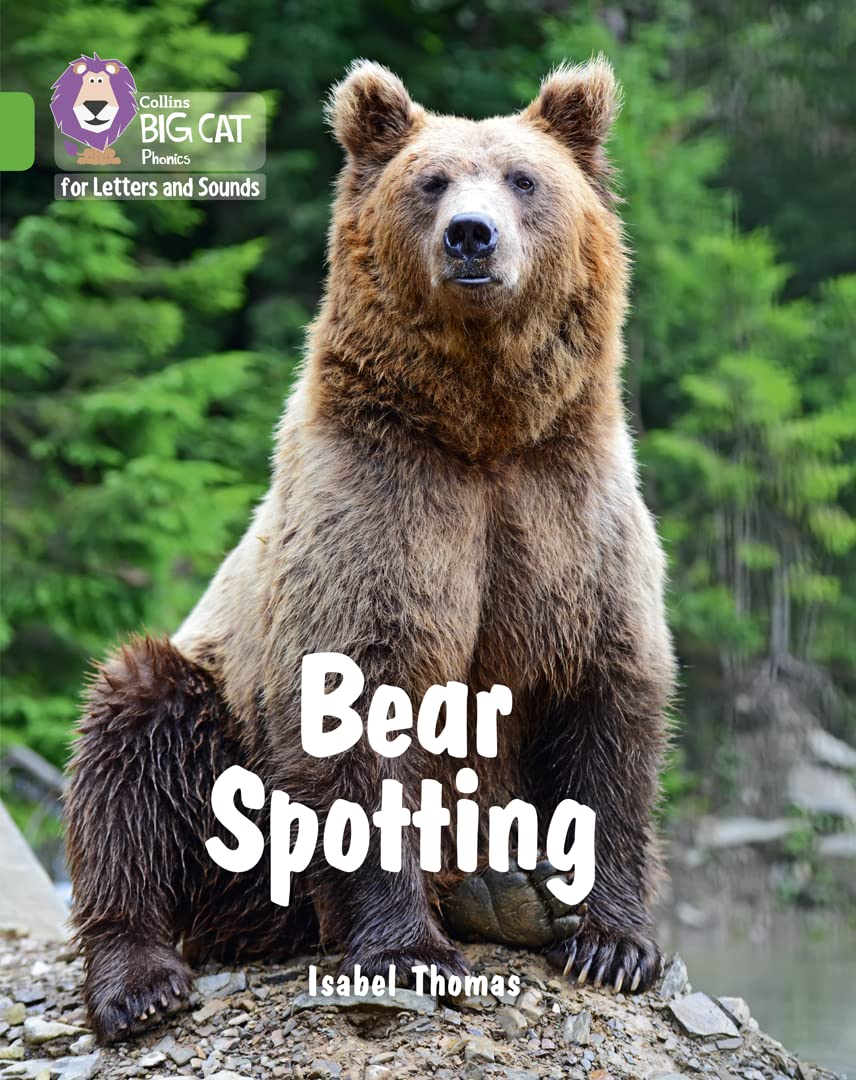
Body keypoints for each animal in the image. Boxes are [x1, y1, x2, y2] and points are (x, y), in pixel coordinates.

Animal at [64, 58, 676, 1043]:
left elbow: (608, 706)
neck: (481, 430)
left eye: (523, 178)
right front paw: (409, 952)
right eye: (431, 181)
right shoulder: (376, 508)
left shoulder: (568, 516)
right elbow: (357, 708)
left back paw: (504, 893)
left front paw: (612, 942)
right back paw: (140, 980)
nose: (471, 237)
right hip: (219, 741)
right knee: (132, 744)